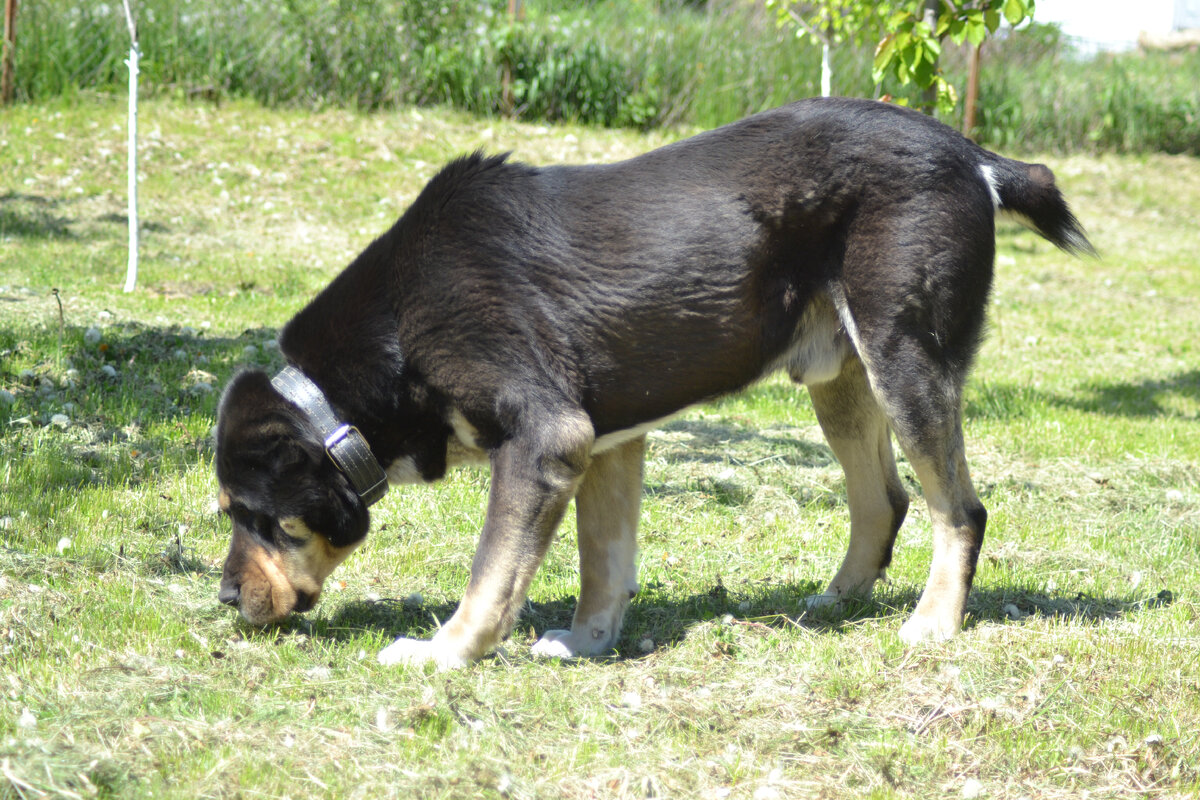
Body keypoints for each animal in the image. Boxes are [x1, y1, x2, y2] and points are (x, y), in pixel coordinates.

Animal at [211, 95, 1094, 671]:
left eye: (262, 519)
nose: (222, 598)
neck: (397, 327)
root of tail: (972, 155)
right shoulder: (604, 442)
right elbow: (602, 565)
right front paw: (586, 644)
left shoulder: (544, 438)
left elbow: (492, 572)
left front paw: (445, 652)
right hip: (841, 379)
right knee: (885, 500)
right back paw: (837, 600)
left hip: (904, 357)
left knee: (960, 510)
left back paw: (934, 623)